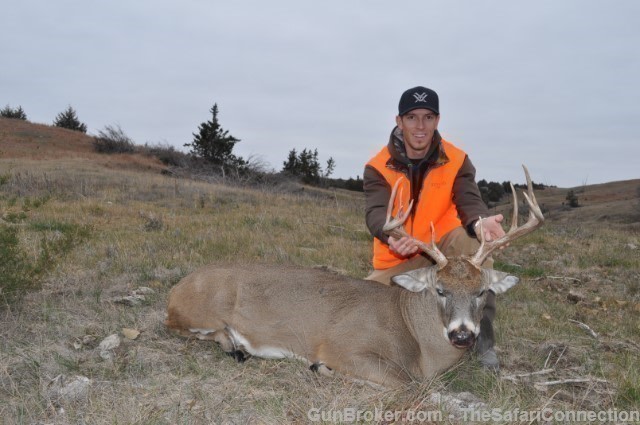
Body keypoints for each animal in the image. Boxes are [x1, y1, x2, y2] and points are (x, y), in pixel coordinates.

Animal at [165, 165, 544, 387]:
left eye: (481, 291)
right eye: (439, 289)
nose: (463, 335)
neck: (418, 344)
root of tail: (176, 289)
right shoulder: (344, 346)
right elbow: (405, 383)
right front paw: (322, 369)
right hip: (200, 311)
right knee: (181, 327)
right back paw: (234, 345)